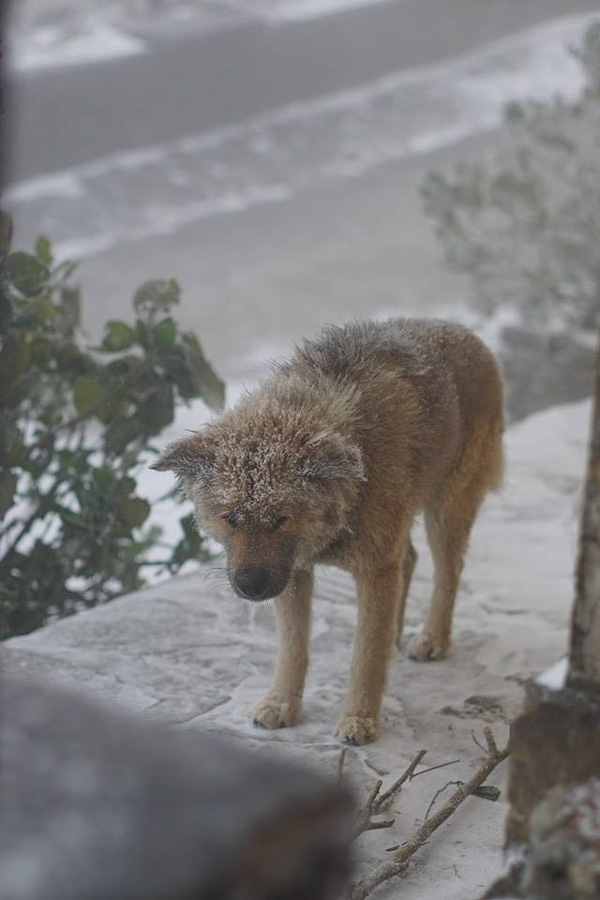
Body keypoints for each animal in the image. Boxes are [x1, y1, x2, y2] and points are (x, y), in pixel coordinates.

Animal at [152, 318, 504, 744]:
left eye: (281, 518)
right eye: (230, 518)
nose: (250, 587)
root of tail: (465, 333)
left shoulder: (372, 568)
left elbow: (365, 655)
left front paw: (360, 718)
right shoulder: (295, 575)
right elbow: (293, 648)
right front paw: (281, 703)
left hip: (446, 509)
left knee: (448, 571)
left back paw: (433, 638)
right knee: (410, 560)